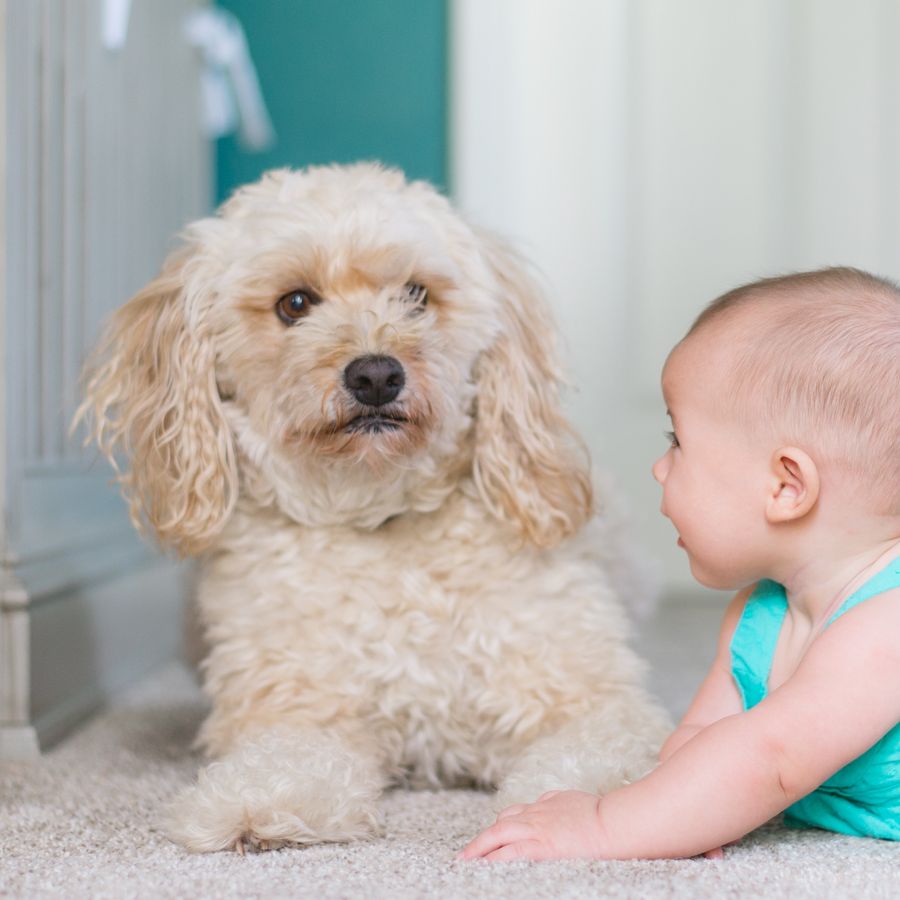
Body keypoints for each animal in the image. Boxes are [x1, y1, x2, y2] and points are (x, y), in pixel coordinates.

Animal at [77, 160, 672, 852]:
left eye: (416, 294)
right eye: (295, 303)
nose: (376, 376)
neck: (379, 516)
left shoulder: (590, 699)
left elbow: (600, 757)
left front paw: (583, 810)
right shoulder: (297, 708)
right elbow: (286, 758)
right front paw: (257, 803)